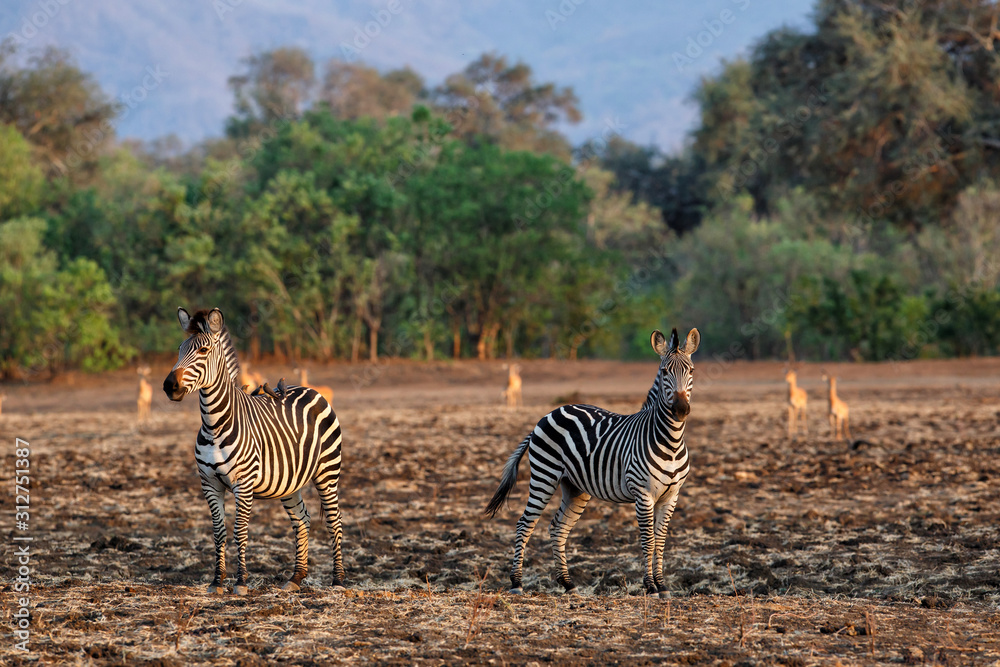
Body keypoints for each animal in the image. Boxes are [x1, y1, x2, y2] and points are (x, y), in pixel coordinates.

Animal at [162, 307, 345, 595]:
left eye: (203, 350)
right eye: (180, 349)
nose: (170, 386)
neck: (214, 424)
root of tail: (309, 389)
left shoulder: (243, 483)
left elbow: (240, 531)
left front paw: (241, 582)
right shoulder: (209, 484)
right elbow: (219, 532)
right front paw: (216, 582)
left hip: (327, 472)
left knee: (334, 521)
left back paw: (337, 580)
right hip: (289, 483)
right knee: (302, 520)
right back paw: (296, 578)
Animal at [485, 328, 700, 598]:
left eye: (691, 371)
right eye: (664, 372)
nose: (681, 410)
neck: (670, 441)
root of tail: (549, 413)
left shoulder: (672, 496)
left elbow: (660, 540)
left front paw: (662, 585)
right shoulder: (643, 494)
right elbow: (648, 540)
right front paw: (650, 587)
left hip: (575, 487)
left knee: (558, 528)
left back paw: (568, 583)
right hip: (545, 475)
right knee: (525, 523)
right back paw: (516, 582)